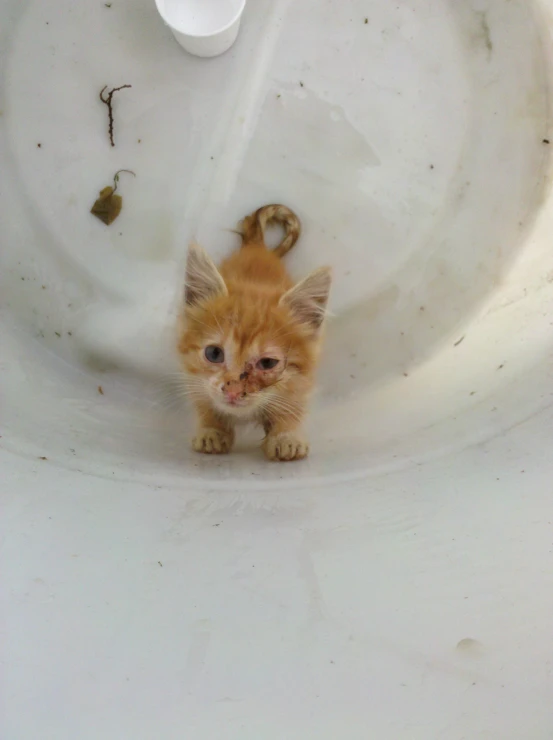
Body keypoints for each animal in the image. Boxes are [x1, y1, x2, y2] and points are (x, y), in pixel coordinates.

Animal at [179, 205, 330, 460]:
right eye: (214, 353)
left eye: (267, 363)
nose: (232, 391)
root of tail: (257, 247)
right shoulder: (193, 378)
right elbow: (204, 403)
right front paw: (212, 431)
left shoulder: (300, 384)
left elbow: (293, 409)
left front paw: (285, 437)